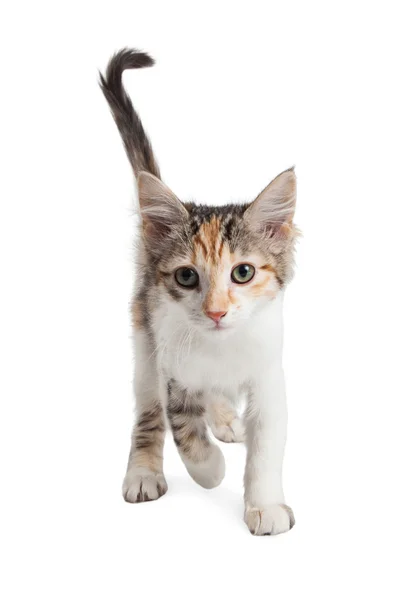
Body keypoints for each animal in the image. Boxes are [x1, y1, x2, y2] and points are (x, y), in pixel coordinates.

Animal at [100, 48, 298, 536]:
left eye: (243, 273)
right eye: (187, 277)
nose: (216, 312)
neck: (221, 349)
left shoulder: (269, 376)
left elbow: (267, 446)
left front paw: (265, 505)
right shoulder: (173, 370)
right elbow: (184, 430)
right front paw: (211, 471)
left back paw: (226, 419)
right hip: (144, 340)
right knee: (148, 415)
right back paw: (144, 472)